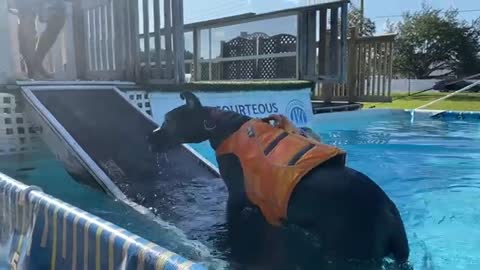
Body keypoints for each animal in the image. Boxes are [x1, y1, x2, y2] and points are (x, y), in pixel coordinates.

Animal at [148, 92, 410, 268]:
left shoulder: (235, 199)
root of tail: (389, 211)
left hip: (349, 250)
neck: (219, 125)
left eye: (167, 121)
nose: (151, 137)